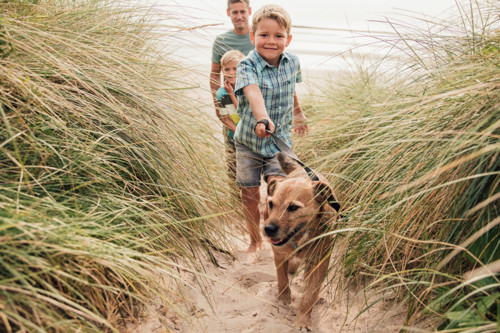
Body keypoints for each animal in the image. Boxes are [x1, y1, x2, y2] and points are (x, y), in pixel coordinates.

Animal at [264, 152, 338, 330]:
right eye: (271, 204)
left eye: (293, 207)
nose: (268, 229)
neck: (300, 238)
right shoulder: (279, 254)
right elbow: (282, 280)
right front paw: (284, 299)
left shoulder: (319, 264)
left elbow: (310, 295)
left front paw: (303, 320)